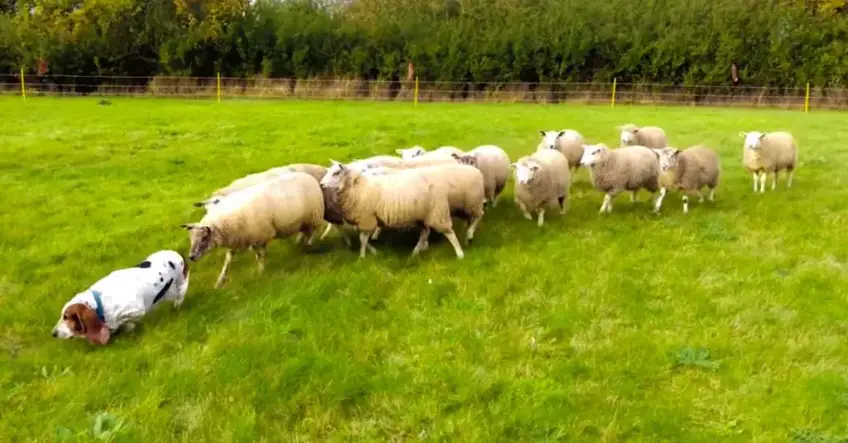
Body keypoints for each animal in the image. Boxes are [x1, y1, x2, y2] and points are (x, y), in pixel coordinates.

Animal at [180, 172, 325, 288]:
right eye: (191, 238)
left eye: (204, 238)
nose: (191, 257)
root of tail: (308, 176)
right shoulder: (237, 240)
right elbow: (228, 261)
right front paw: (220, 281)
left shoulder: (261, 236)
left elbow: (260, 255)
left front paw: (261, 272)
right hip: (302, 221)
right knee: (304, 231)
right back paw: (299, 241)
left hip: (313, 216)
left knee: (312, 232)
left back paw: (307, 245)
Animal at [319, 160, 465, 259]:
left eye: (336, 173)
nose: (321, 184)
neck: (358, 188)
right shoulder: (364, 220)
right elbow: (363, 238)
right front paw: (372, 252)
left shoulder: (367, 218)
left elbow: (363, 239)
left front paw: (362, 256)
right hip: (422, 217)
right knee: (425, 233)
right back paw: (415, 252)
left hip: (437, 213)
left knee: (450, 233)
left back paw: (460, 254)